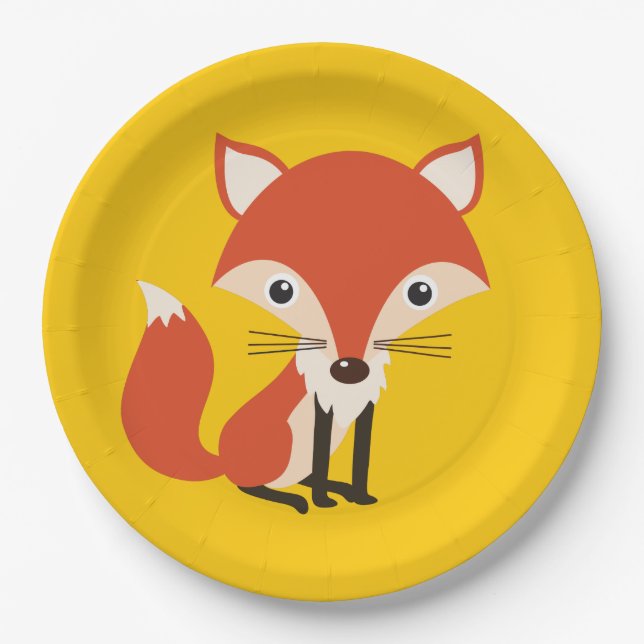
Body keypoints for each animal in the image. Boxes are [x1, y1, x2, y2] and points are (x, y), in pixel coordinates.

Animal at [121, 133, 489, 514]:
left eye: (421, 293)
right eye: (280, 291)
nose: (349, 369)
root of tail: (223, 457)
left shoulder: (366, 409)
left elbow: (360, 458)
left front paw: (358, 495)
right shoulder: (320, 406)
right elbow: (321, 456)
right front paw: (322, 502)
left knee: (301, 475)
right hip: (279, 442)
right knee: (253, 485)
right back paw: (295, 499)